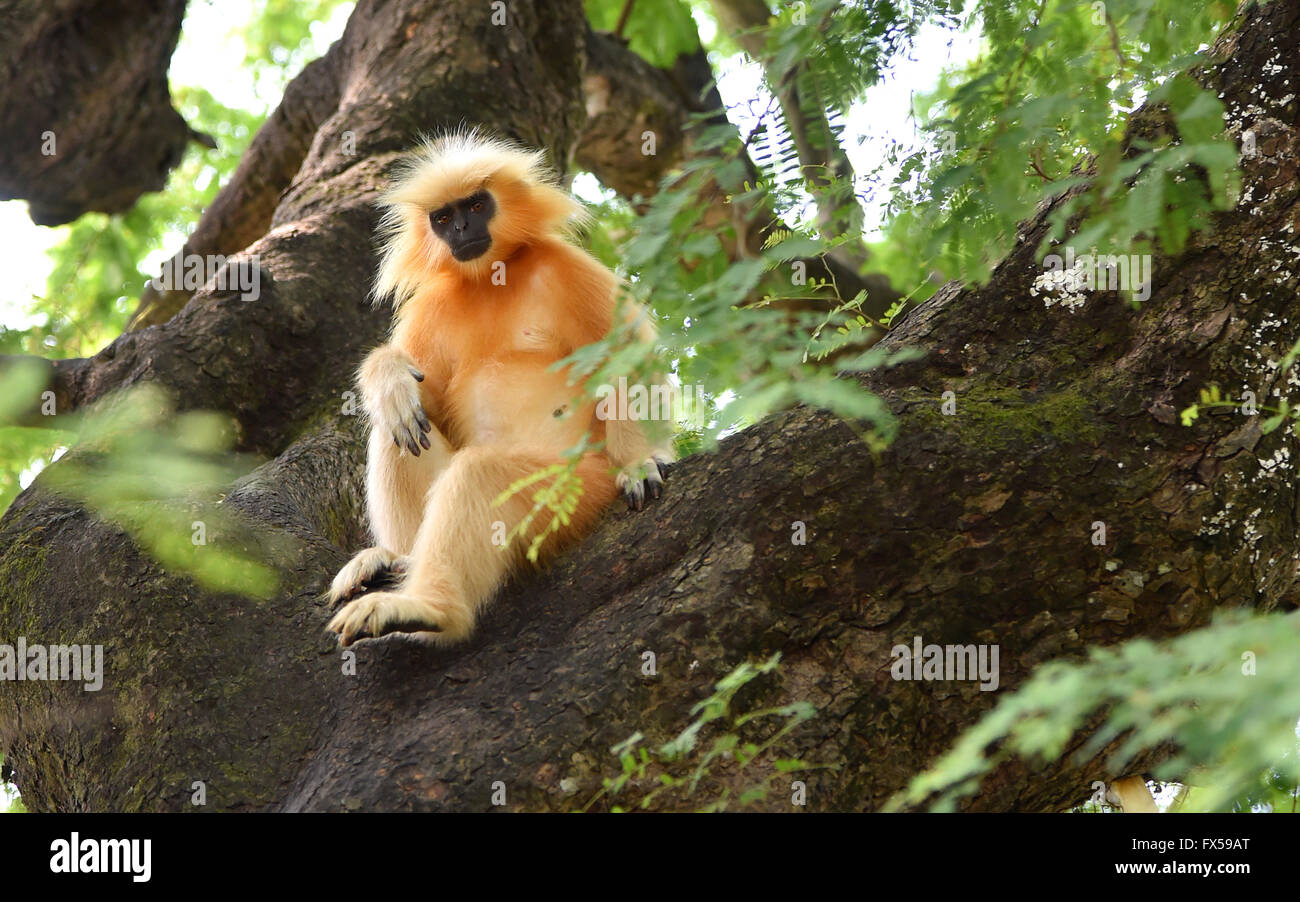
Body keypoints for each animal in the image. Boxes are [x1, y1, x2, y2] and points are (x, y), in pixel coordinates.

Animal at [325, 130, 676, 647]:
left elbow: (628, 362)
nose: (460, 229)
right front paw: (388, 375)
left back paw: (427, 607)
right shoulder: (434, 305)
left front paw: (642, 461)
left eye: (475, 204)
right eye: (443, 217)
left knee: (480, 471)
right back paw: (398, 556)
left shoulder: (564, 267)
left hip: (577, 488)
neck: (492, 278)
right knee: (397, 424)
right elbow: (422, 400)